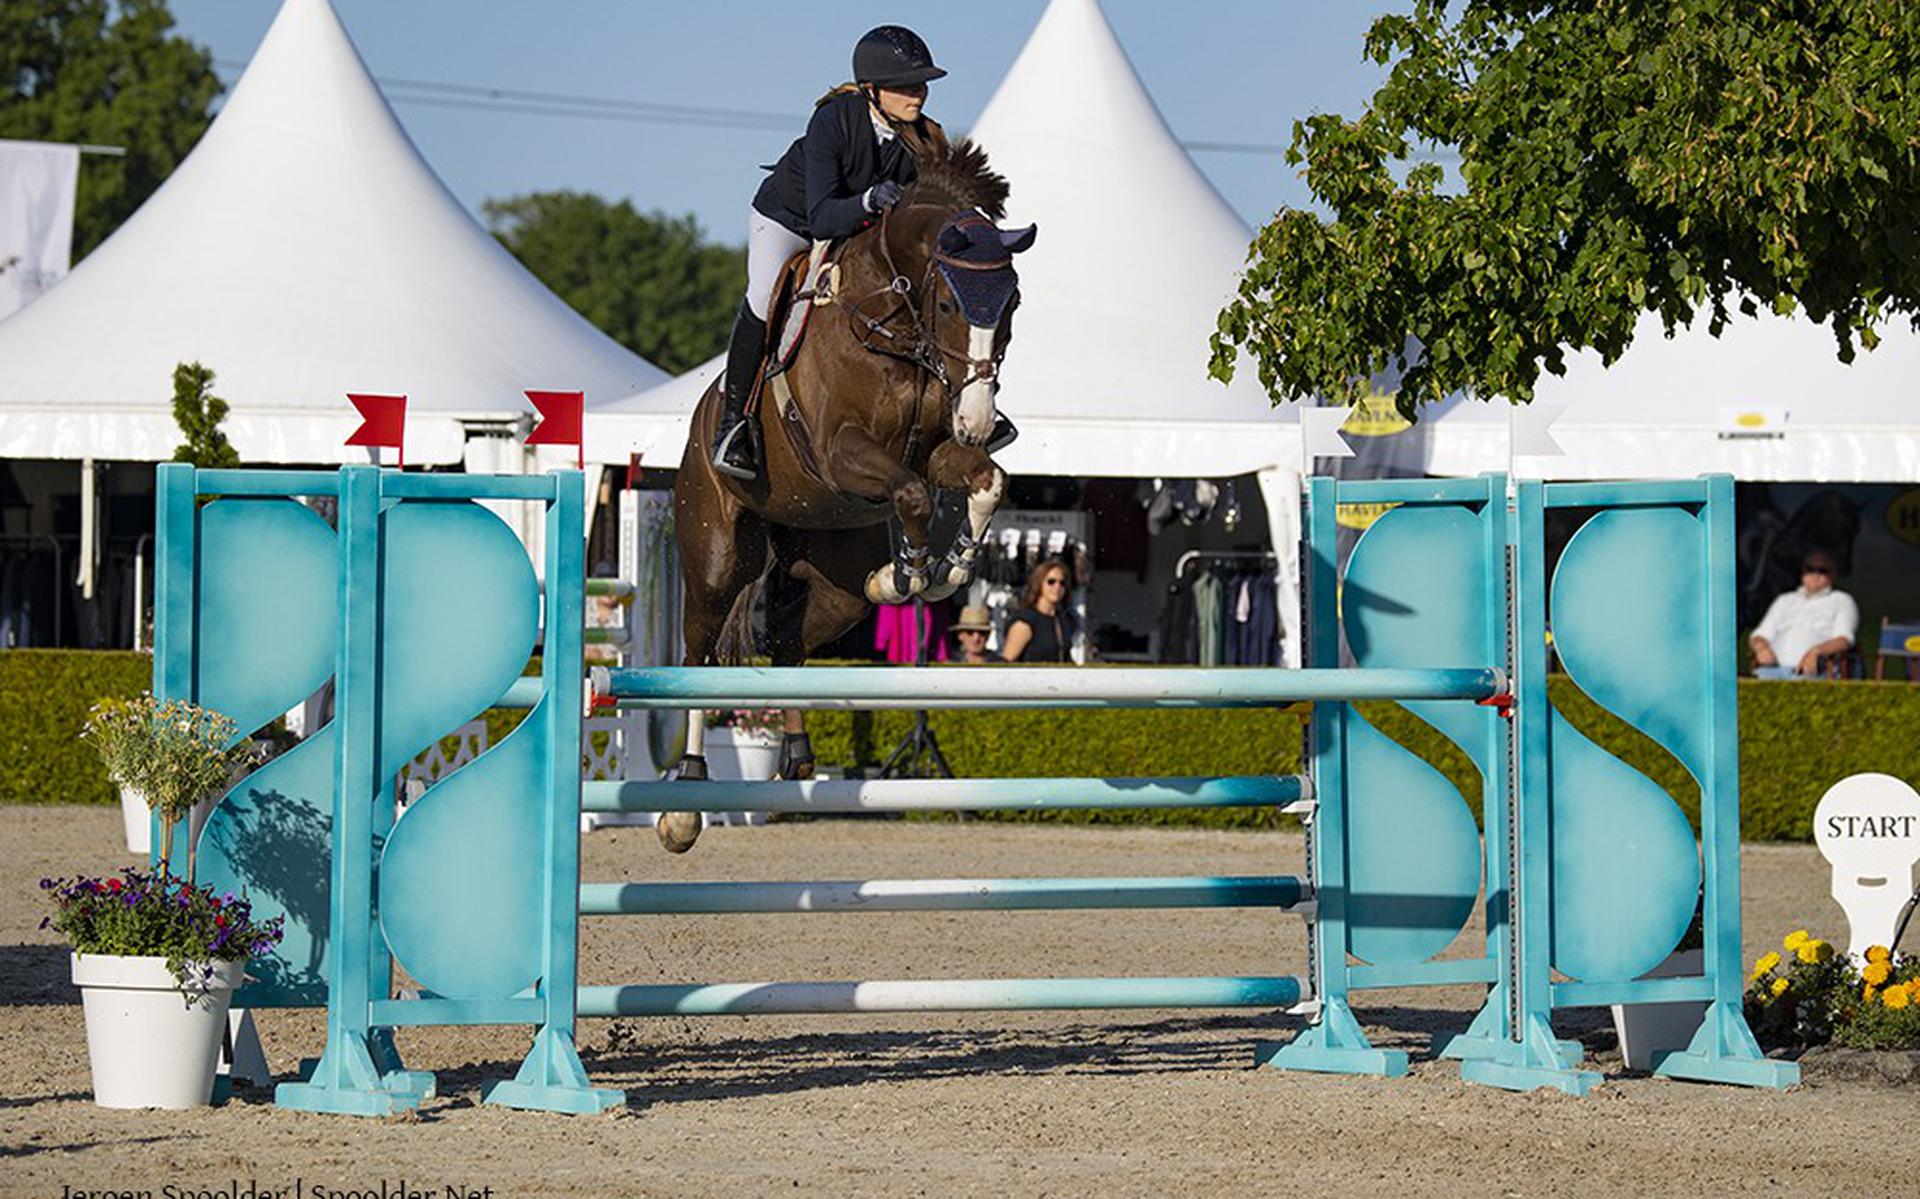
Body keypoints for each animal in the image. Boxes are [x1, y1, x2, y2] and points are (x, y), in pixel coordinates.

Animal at [668, 140, 1044, 853]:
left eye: (1012, 306)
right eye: (951, 306)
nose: (979, 418)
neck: (895, 327)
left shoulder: (936, 452)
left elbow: (986, 481)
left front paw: (936, 571)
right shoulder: (842, 453)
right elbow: (914, 496)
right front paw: (915, 571)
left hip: (829, 574)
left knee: (787, 638)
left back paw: (795, 755)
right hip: (717, 557)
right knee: (695, 653)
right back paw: (685, 794)